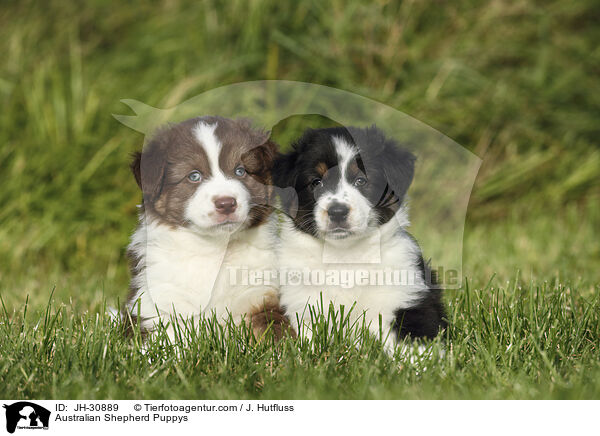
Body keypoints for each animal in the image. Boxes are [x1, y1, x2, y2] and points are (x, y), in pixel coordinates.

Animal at [125, 115, 288, 340]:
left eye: (240, 171)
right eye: (194, 176)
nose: (226, 203)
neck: (215, 248)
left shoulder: (261, 296)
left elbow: (273, 337)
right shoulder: (158, 303)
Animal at [272, 126, 446, 350]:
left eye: (361, 181)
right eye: (316, 182)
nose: (337, 212)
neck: (345, 255)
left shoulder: (407, 297)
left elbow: (415, 343)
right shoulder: (302, 305)